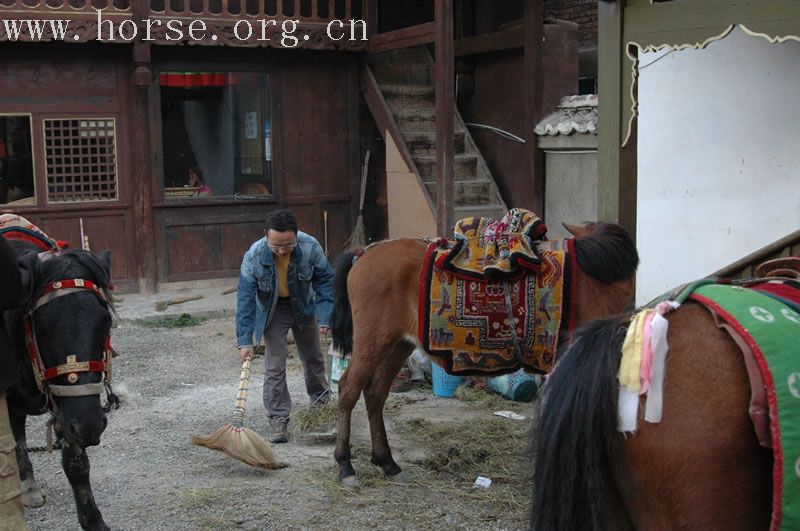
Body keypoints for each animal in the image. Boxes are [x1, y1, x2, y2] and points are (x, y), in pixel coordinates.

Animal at [5, 242, 117, 531]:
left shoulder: (68, 407)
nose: (91, 425)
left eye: (105, 322)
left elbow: (76, 464)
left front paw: (94, 521)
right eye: (41, 326)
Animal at [330, 221, 636, 486]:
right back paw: (345, 464)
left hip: (397, 344)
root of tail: (364, 252)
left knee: (375, 394)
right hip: (371, 342)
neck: (590, 282)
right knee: (348, 390)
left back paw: (386, 460)